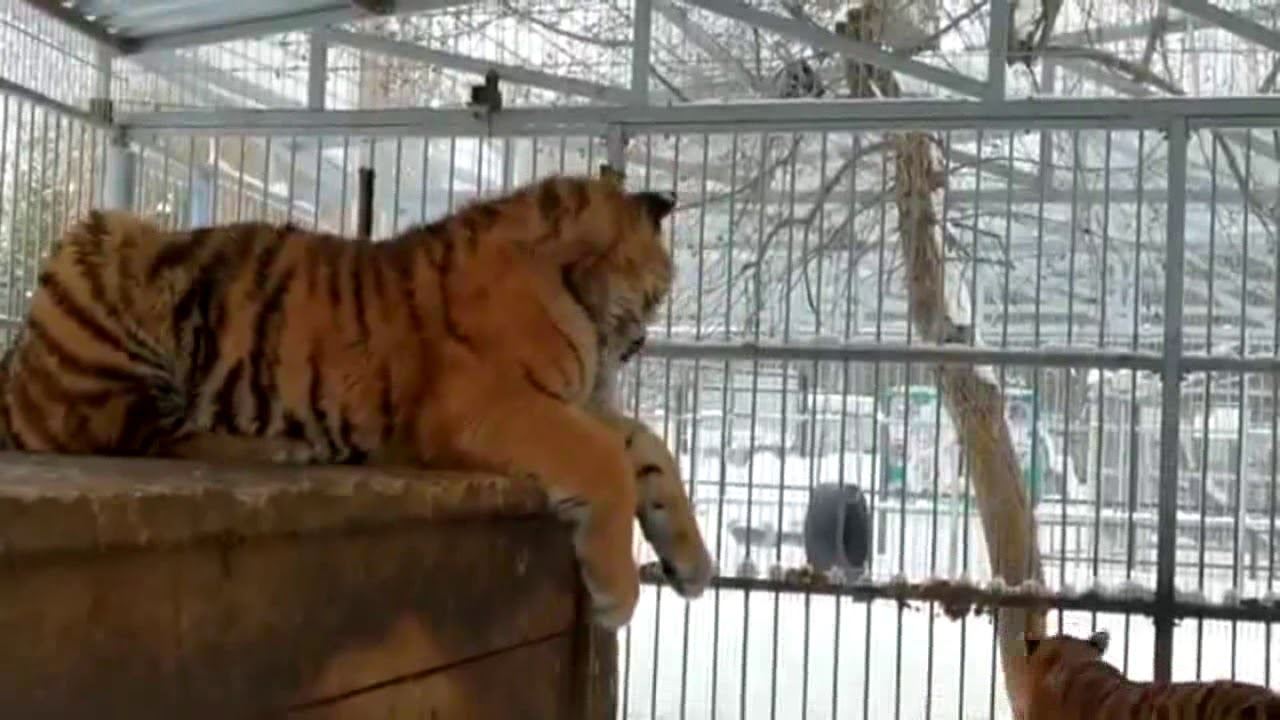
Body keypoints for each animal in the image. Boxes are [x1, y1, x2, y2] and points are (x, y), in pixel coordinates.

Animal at [0, 174, 715, 629]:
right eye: (663, 287)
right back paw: (286, 449)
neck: (581, 297)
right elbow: (605, 460)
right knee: (129, 435)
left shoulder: (571, 401)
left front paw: (692, 562)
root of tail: (16, 371)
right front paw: (616, 594)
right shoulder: (488, 403)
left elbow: (648, 446)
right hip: (102, 256)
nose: (643, 343)